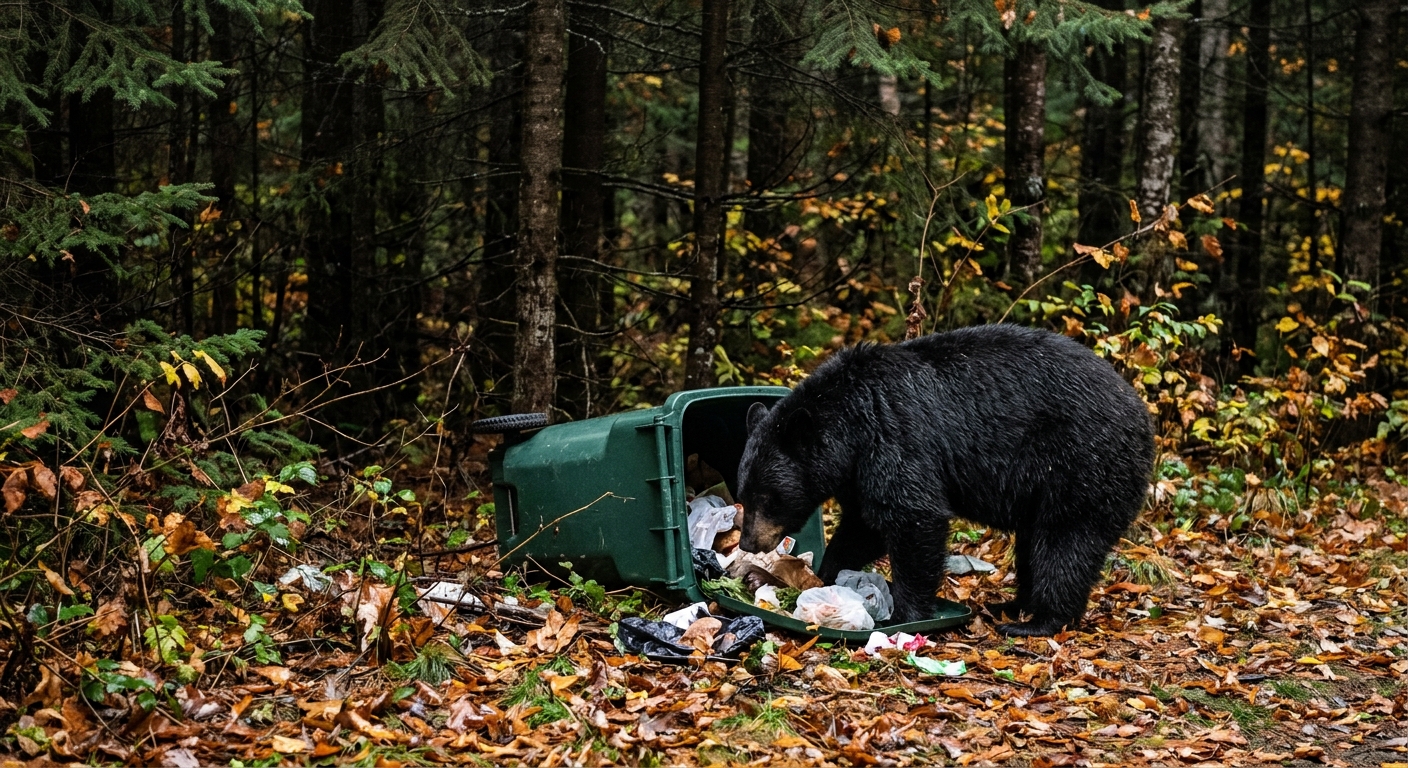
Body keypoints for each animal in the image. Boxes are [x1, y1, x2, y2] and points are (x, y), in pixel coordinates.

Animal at [735, 324, 1155, 636]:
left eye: (768, 497)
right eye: (742, 495)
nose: (749, 542)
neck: (852, 423)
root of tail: (1142, 417)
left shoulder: (895, 436)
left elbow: (913, 517)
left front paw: (903, 614)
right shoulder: (859, 470)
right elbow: (864, 526)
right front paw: (823, 577)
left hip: (1081, 463)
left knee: (1066, 540)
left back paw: (1039, 621)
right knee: (1033, 543)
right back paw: (1013, 604)